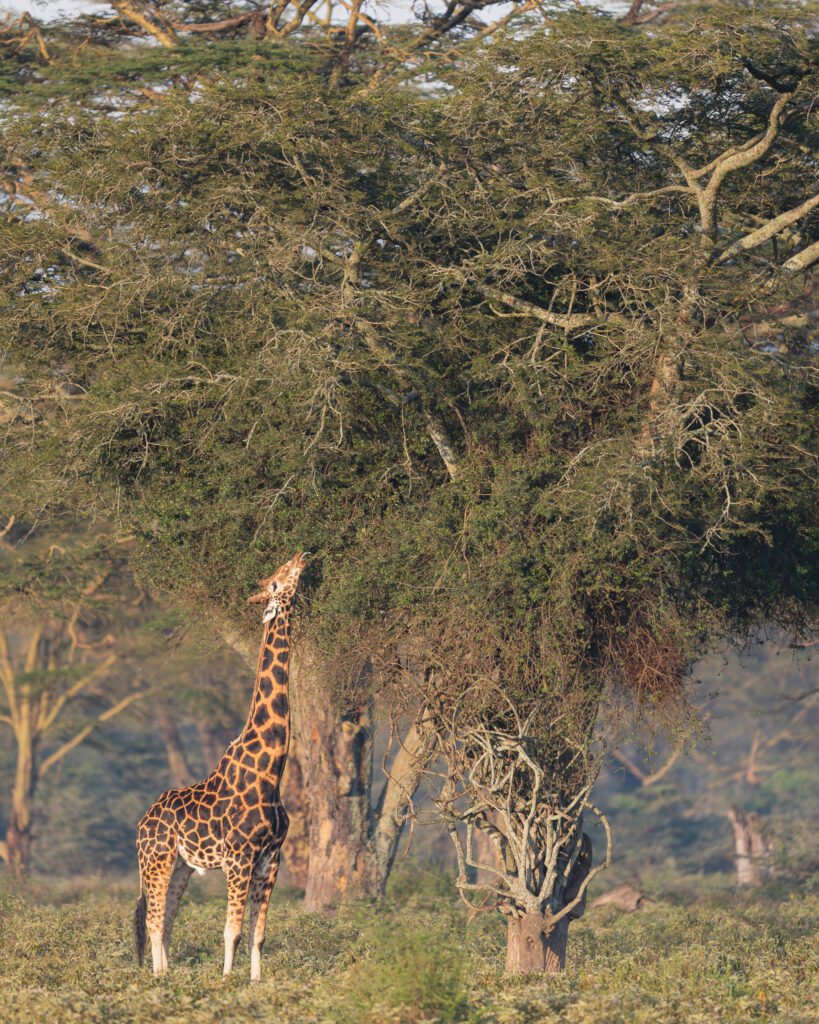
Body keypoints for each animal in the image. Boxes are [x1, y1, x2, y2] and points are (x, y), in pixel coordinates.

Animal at [134, 551, 307, 982]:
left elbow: (257, 933)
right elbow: (231, 930)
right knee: (154, 920)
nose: (301, 556)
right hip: (156, 860)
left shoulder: (271, 859)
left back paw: (169, 975)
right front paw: (227, 980)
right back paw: (159, 979)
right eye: (279, 576)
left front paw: (256, 981)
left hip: (180, 866)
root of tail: (141, 823)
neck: (271, 772)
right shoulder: (238, 857)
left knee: (168, 919)